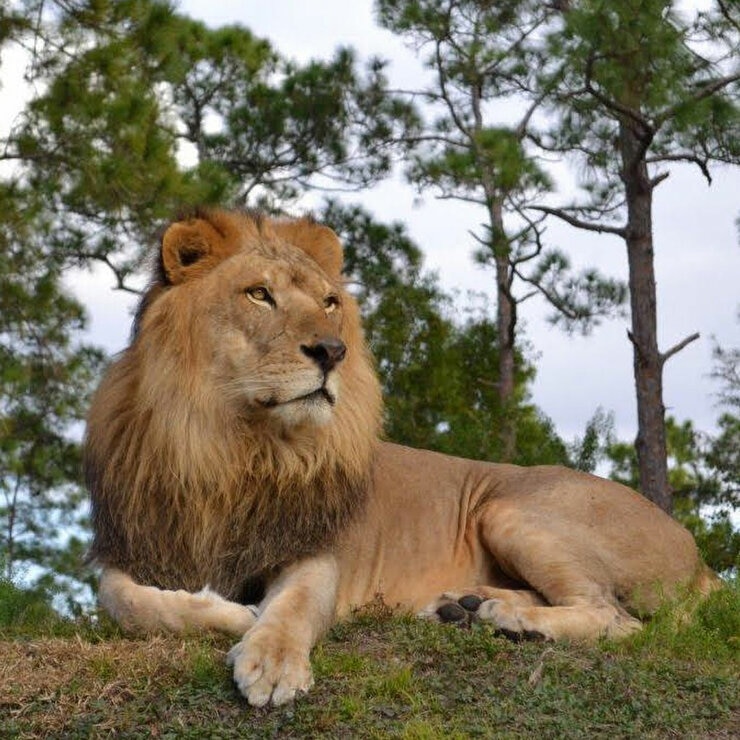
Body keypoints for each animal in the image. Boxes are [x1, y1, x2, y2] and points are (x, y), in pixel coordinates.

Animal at [85, 208, 718, 708]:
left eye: (328, 303)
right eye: (259, 294)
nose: (332, 351)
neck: (236, 448)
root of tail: (701, 559)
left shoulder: (319, 551)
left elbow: (294, 605)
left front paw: (270, 656)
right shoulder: (135, 544)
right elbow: (122, 600)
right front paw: (232, 612)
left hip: (508, 510)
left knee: (617, 617)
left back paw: (510, 619)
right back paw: (465, 606)